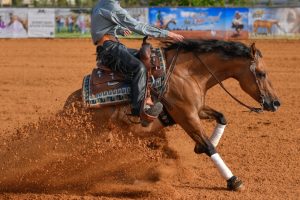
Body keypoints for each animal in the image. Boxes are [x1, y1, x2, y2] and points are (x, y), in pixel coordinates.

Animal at [63, 38, 282, 191]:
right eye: (261, 73)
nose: (276, 103)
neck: (187, 73)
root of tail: (68, 107)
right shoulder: (186, 116)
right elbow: (210, 147)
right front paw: (233, 181)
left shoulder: (197, 109)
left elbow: (221, 117)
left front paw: (198, 147)